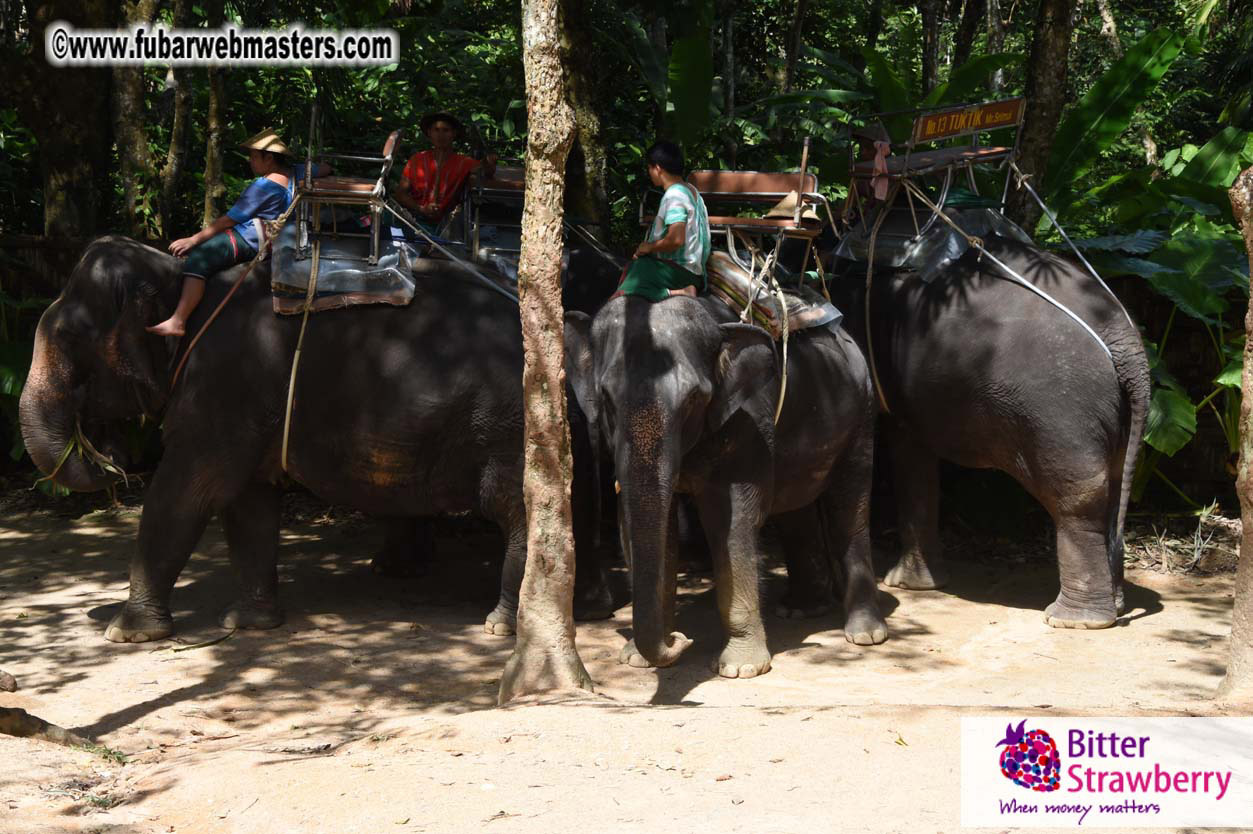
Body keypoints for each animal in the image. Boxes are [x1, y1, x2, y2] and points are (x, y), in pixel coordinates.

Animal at [19, 236, 612, 642]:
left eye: (70, 337)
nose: (110, 458)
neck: (180, 280)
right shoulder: (247, 402)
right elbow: (248, 503)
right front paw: (251, 623)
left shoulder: (221, 386)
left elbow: (186, 492)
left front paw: (128, 633)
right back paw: (588, 608)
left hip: (512, 426)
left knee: (517, 509)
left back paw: (503, 626)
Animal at [564, 292, 885, 678]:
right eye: (607, 398)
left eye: (693, 399)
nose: (681, 640)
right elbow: (648, 526)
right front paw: (637, 659)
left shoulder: (749, 424)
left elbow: (731, 523)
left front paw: (742, 668)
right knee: (795, 508)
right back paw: (802, 609)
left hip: (862, 413)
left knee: (849, 507)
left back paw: (865, 634)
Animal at [829, 235, 1150, 628]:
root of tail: (1125, 342)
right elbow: (917, 458)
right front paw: (915, 584)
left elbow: (906, 452)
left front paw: (905, 584)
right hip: (1115, 413)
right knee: (1115, 483)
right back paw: (1115, 605)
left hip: (1061, 412)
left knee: (1080, 496)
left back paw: (1074, 620)